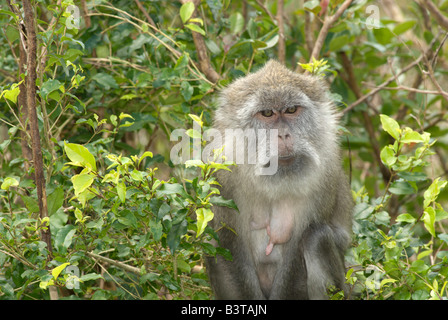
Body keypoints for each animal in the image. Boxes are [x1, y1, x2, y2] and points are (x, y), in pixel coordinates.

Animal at [206, 60, 354, 300]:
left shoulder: (325, 174)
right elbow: (226, 242)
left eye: (291, 110)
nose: (283, 135)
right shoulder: (223, 176)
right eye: (267, 113)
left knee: (316, 238)